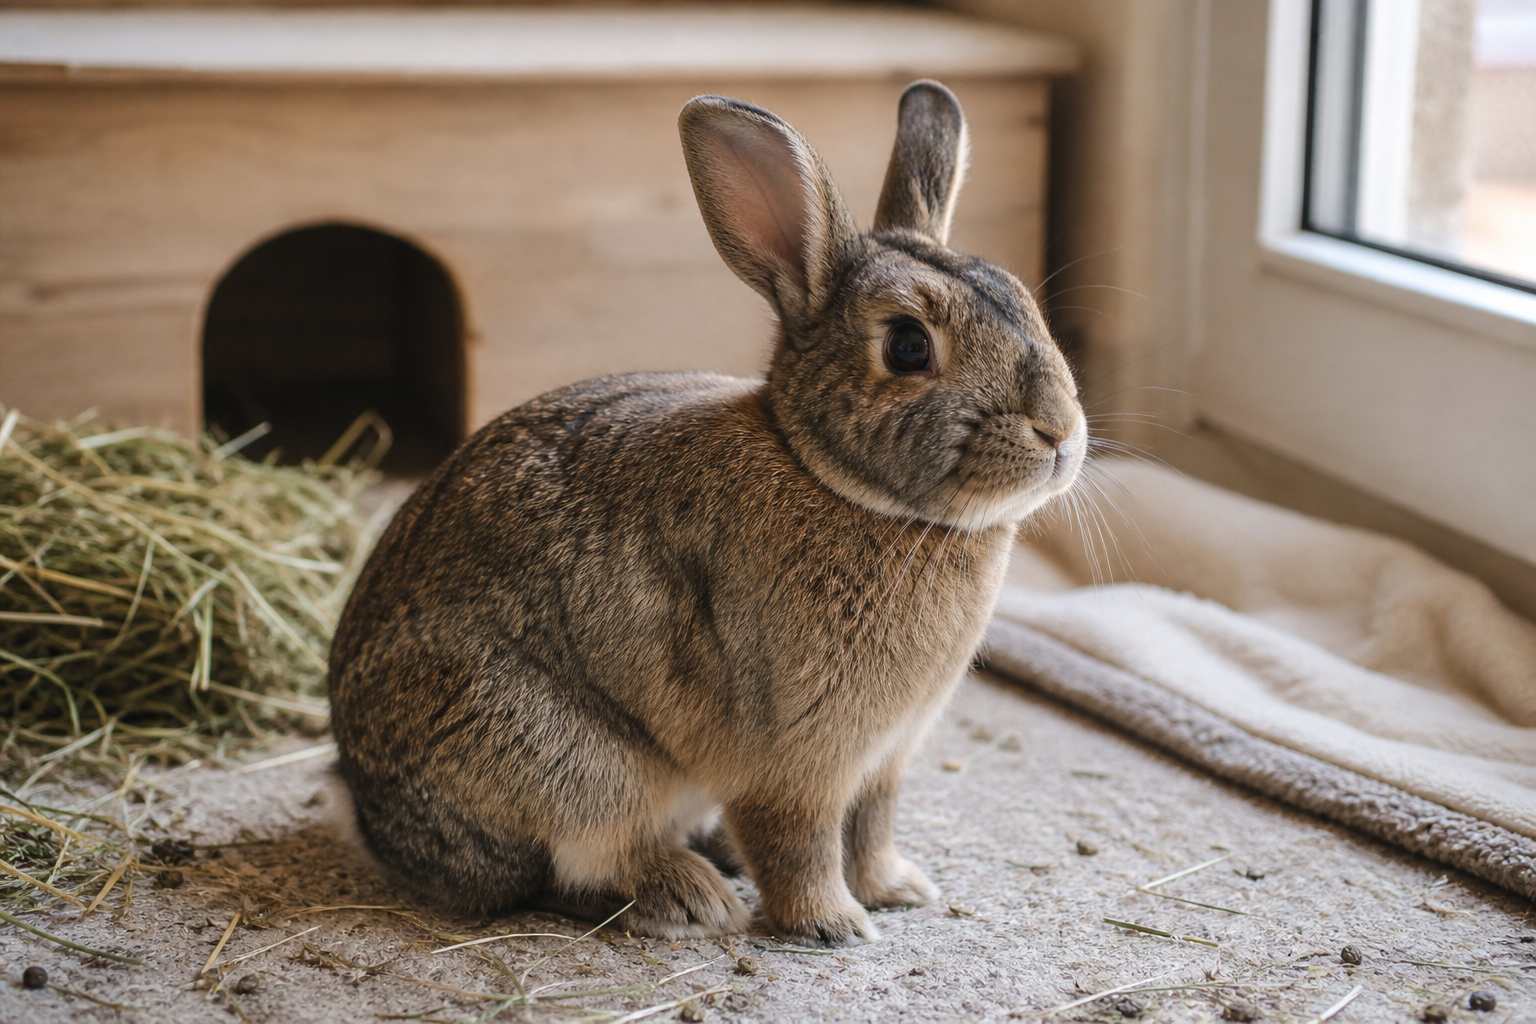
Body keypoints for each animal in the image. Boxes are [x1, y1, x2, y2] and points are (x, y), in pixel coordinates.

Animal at [327, 80, 1086, 946]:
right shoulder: (795, 760)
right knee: (566, 873)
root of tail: (374, 818)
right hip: (567, 760)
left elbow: (870, 829)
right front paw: (833, 925)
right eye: (907, 347)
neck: (829, 477)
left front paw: (897, 888)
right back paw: (690, 894)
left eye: (1023, 301)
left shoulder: (882, 764)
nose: (1060, 431)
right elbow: (799, 842)